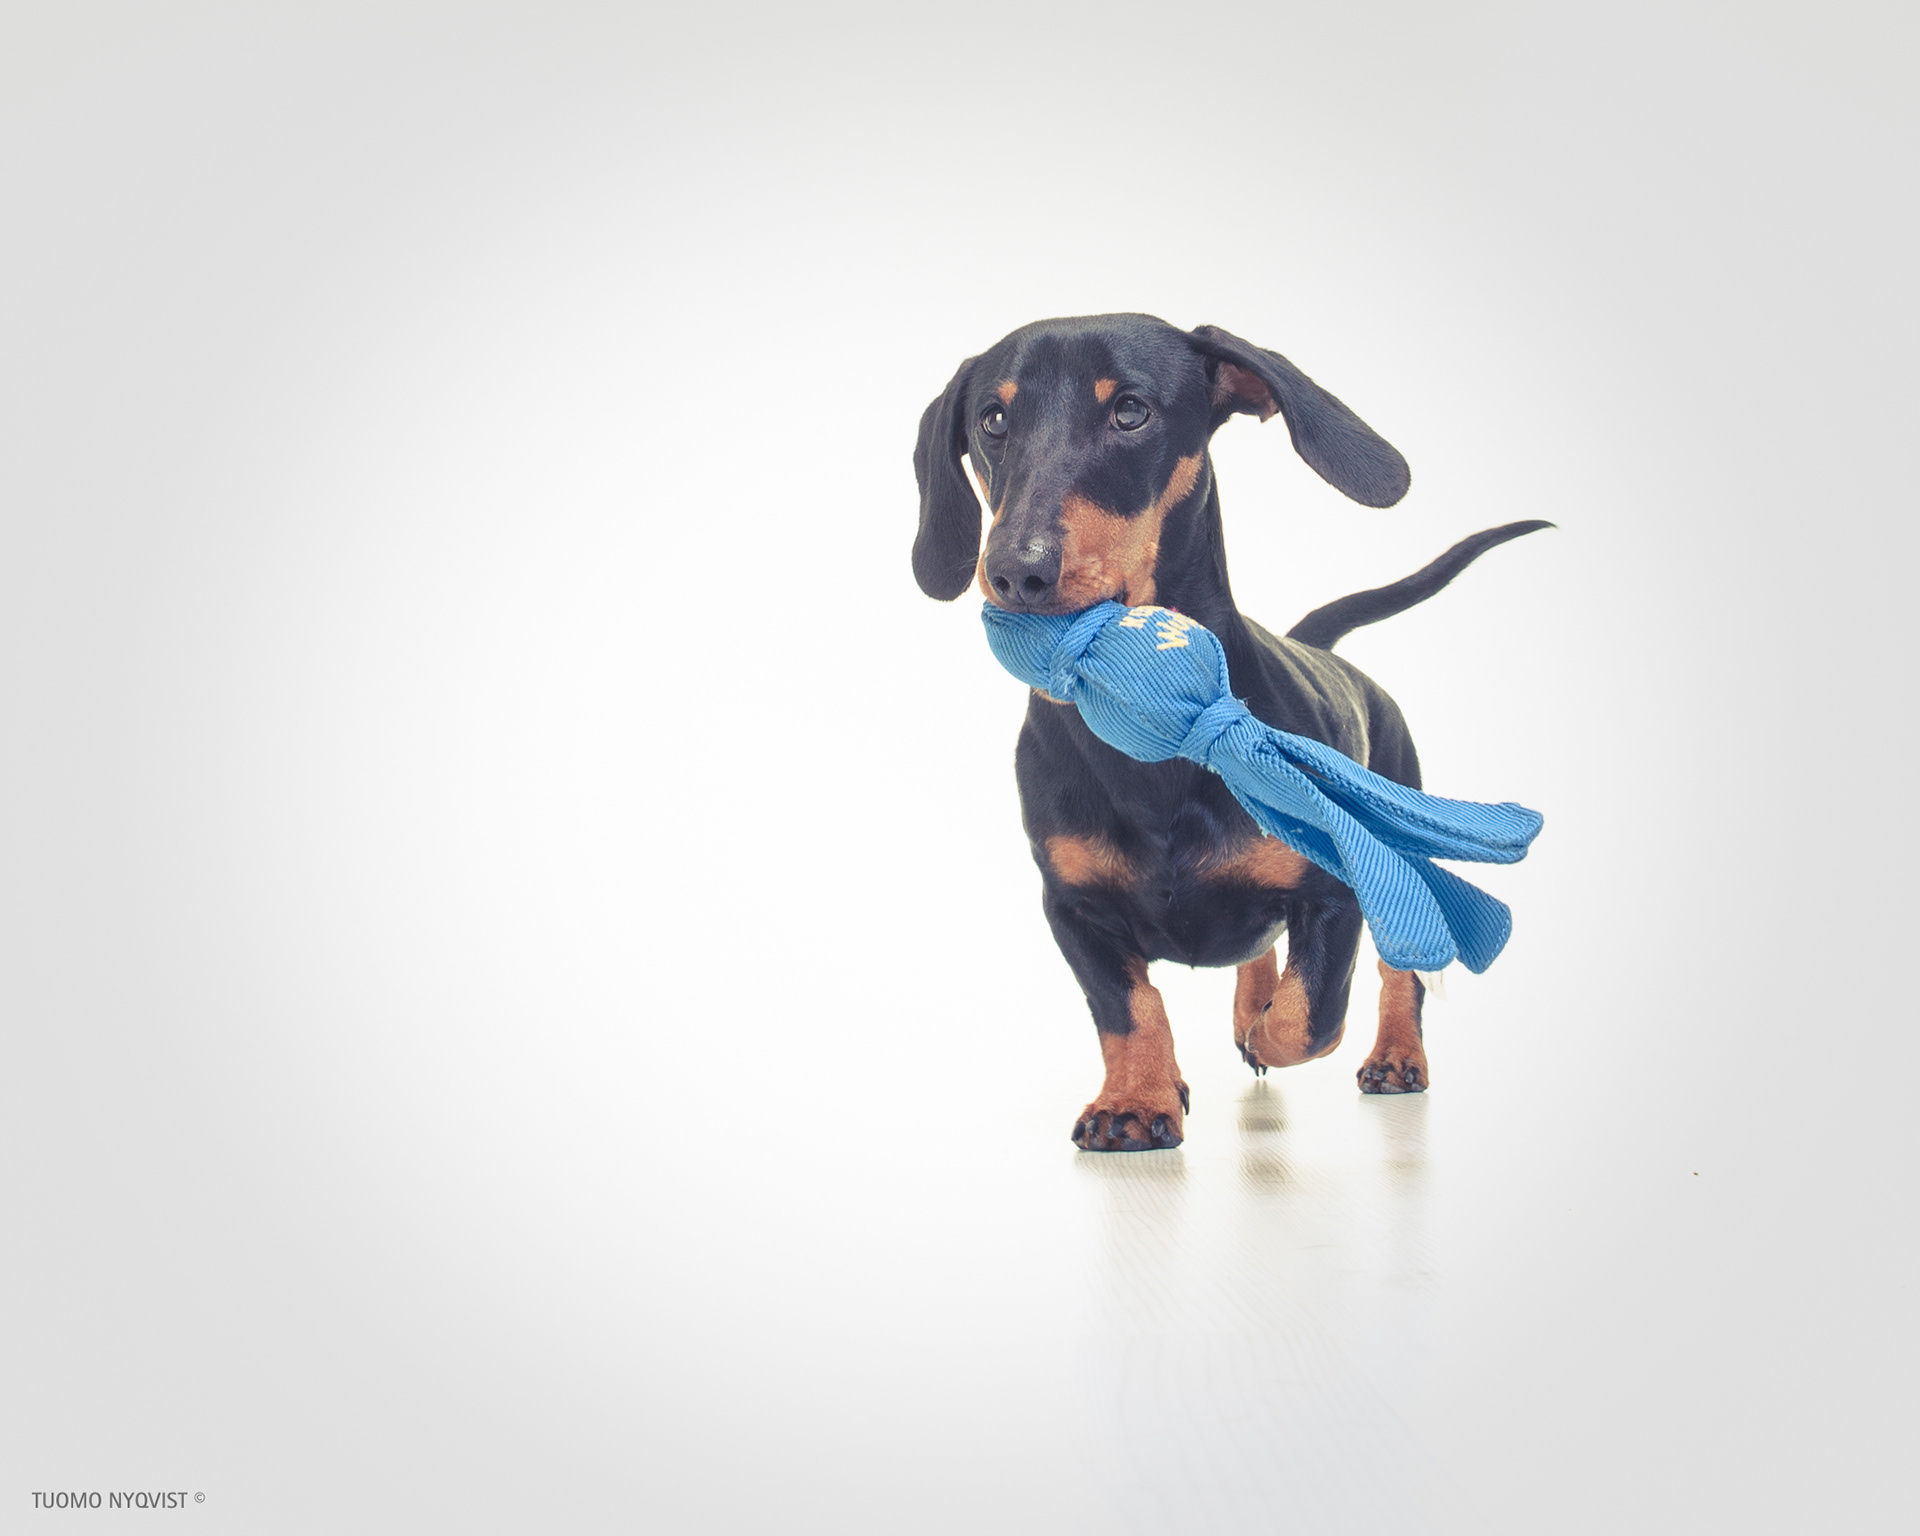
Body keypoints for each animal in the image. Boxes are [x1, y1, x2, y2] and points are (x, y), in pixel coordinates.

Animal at [912, 314, 1546, 1151]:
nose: (1017, 570)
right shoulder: (1072, 907)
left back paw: (1393, 1055)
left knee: (1397, 972)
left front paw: (1258, 1034)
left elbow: (1309, 1019)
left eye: (1131, 411)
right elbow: (1127, 1009)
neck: (1152, 737)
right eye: (992, 420)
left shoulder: (1339, 892)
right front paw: (1136, 1098)